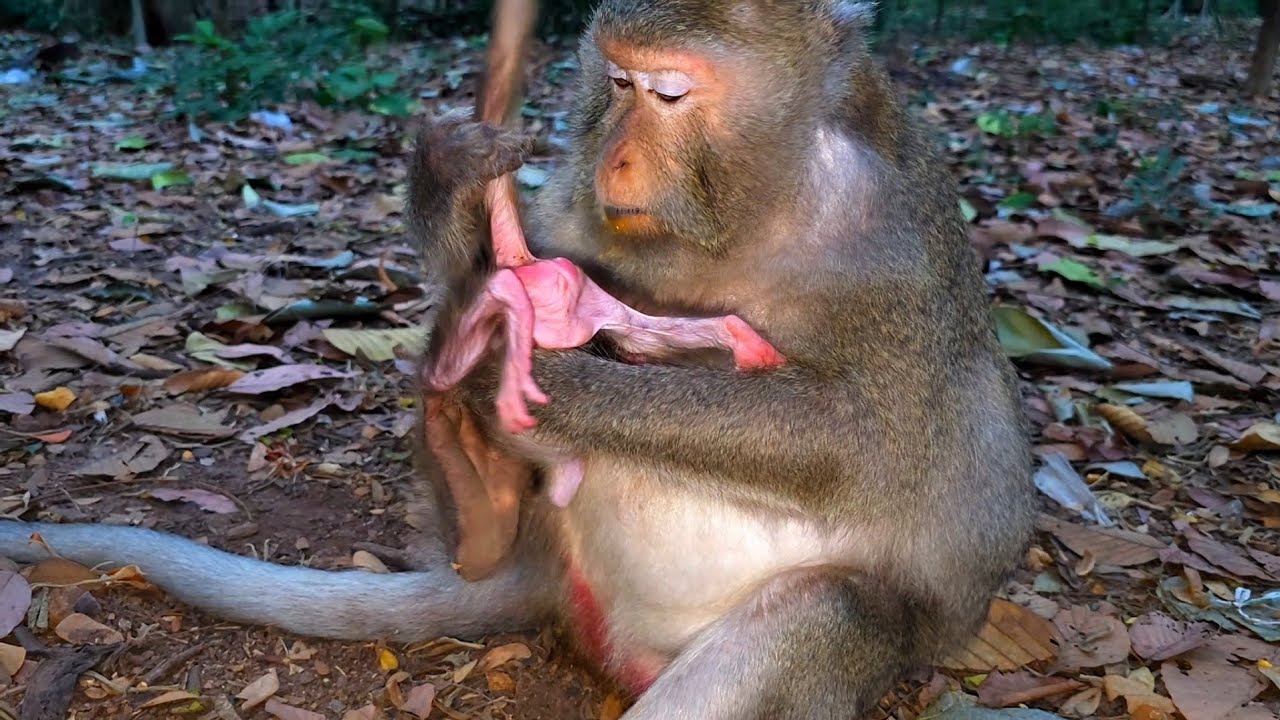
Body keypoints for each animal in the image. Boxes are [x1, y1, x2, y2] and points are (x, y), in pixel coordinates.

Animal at [0, 2, 1036, 719]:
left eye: (670, 92)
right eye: (615, 84)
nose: (618, 161)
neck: (750, 207)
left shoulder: (886, 244)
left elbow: (863, 443)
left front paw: (559, 385)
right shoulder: (577, 199)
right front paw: (453, 193)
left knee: (828, 611)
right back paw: (480, 491)